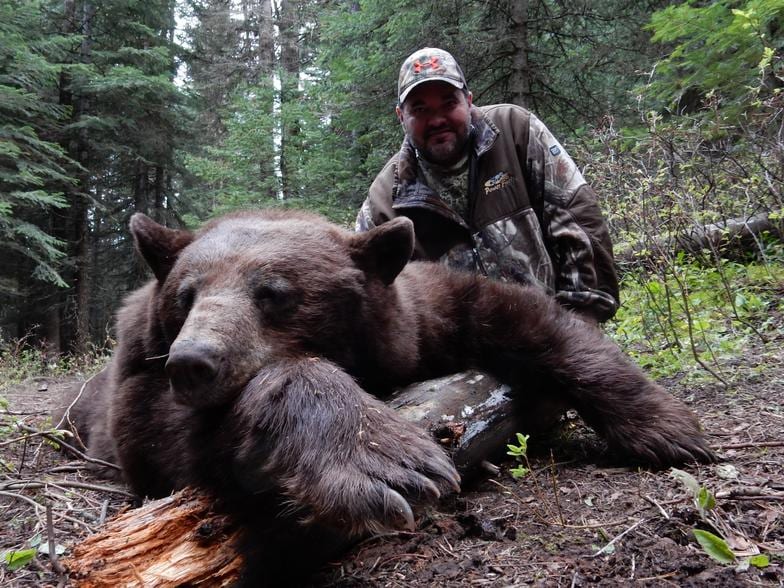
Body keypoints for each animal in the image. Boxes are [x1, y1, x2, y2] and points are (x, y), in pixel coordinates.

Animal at [65, 208, 714, 583]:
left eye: (273, 292)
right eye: (185, 296)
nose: (193, 362)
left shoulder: (421, 317)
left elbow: (522, 316)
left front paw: (667, 427)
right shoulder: (140, 380)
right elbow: (162, 434)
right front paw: (383, 461)